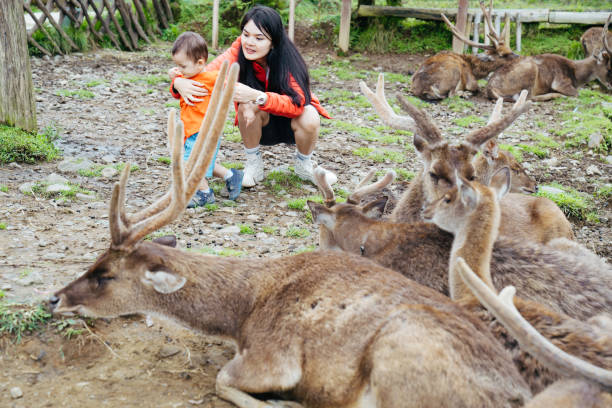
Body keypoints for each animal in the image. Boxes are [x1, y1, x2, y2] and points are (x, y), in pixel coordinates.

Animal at [50, 60, 536, 408]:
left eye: (106, 275)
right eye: (92, 260)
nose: (54, 297)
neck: (241, 313)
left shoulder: (276, 355)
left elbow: (224, 379)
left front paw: (282, 401)